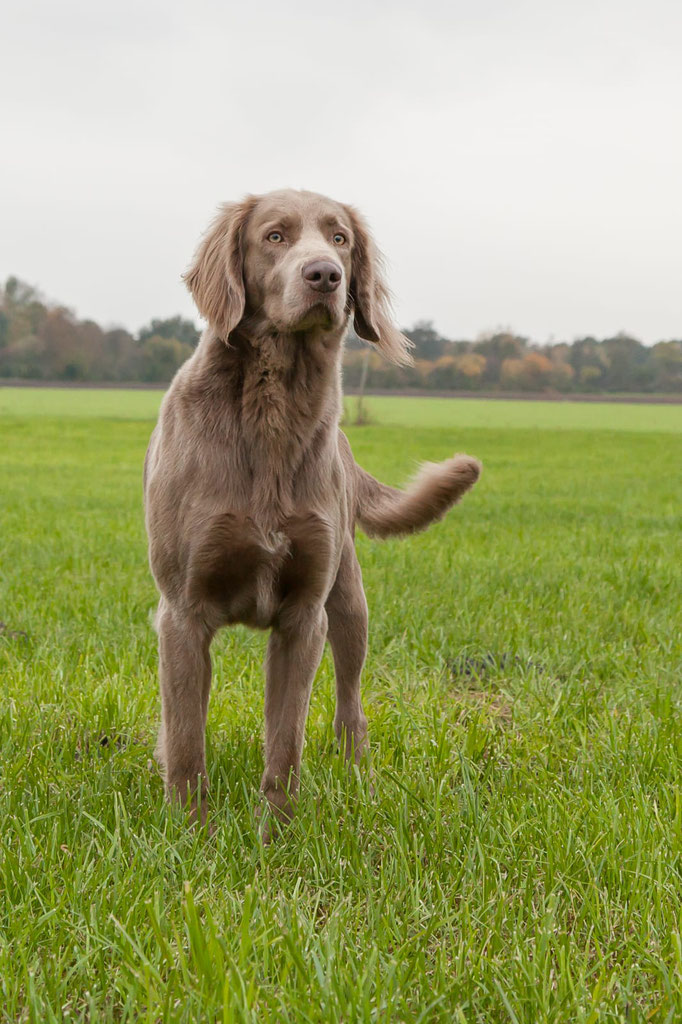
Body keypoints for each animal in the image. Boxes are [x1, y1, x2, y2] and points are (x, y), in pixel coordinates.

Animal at [143, 190, 481, 831]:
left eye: (340, 238)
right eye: (274, 237)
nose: (325, 275)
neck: (273, 411)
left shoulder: (305, 616)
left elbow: (286, 738)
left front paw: (275, 831)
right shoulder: (183, 611)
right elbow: (187, 737)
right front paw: (188, 830)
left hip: (349, 603)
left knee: (350, 701)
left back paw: (356, 773)